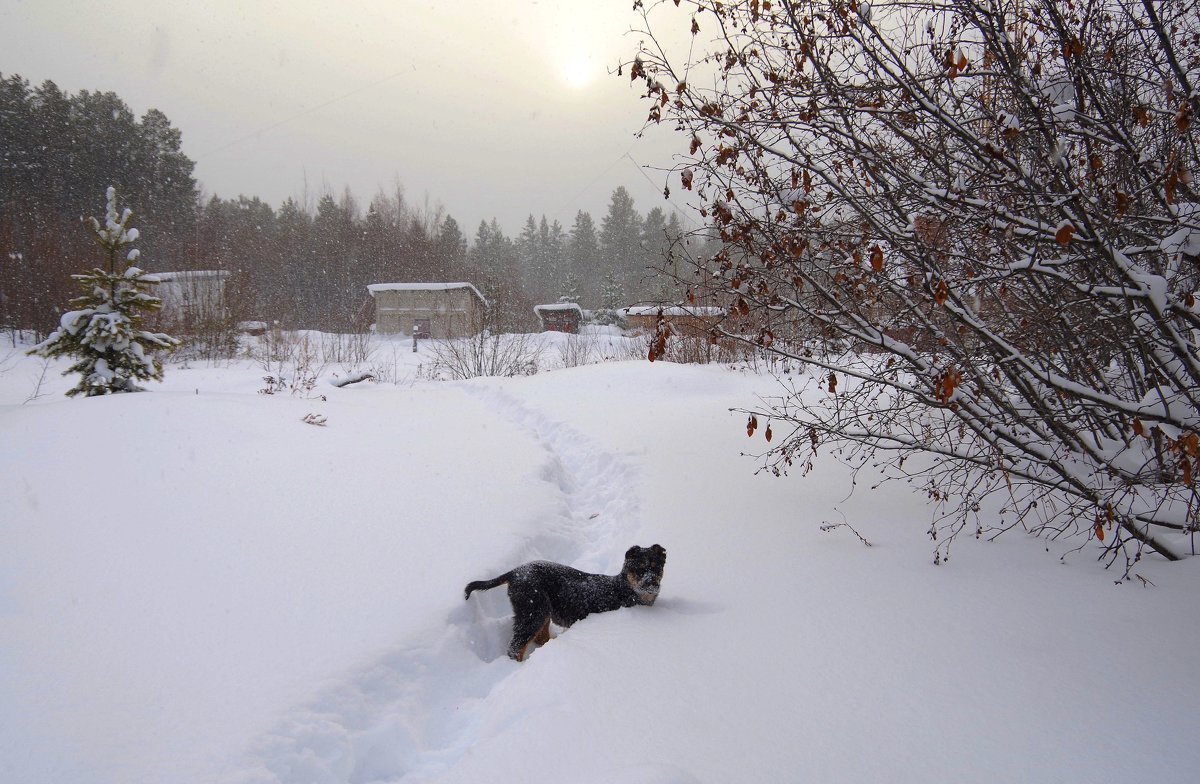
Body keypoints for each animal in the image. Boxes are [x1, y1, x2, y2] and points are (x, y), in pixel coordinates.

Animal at [460, 545, 667, 662]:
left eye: (657, 568)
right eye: (640, 569)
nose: (652, 584)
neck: (625, 589)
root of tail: (514, 573)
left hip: (542, 613)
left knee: (539, 638)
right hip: (532, 612)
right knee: (515, 647)